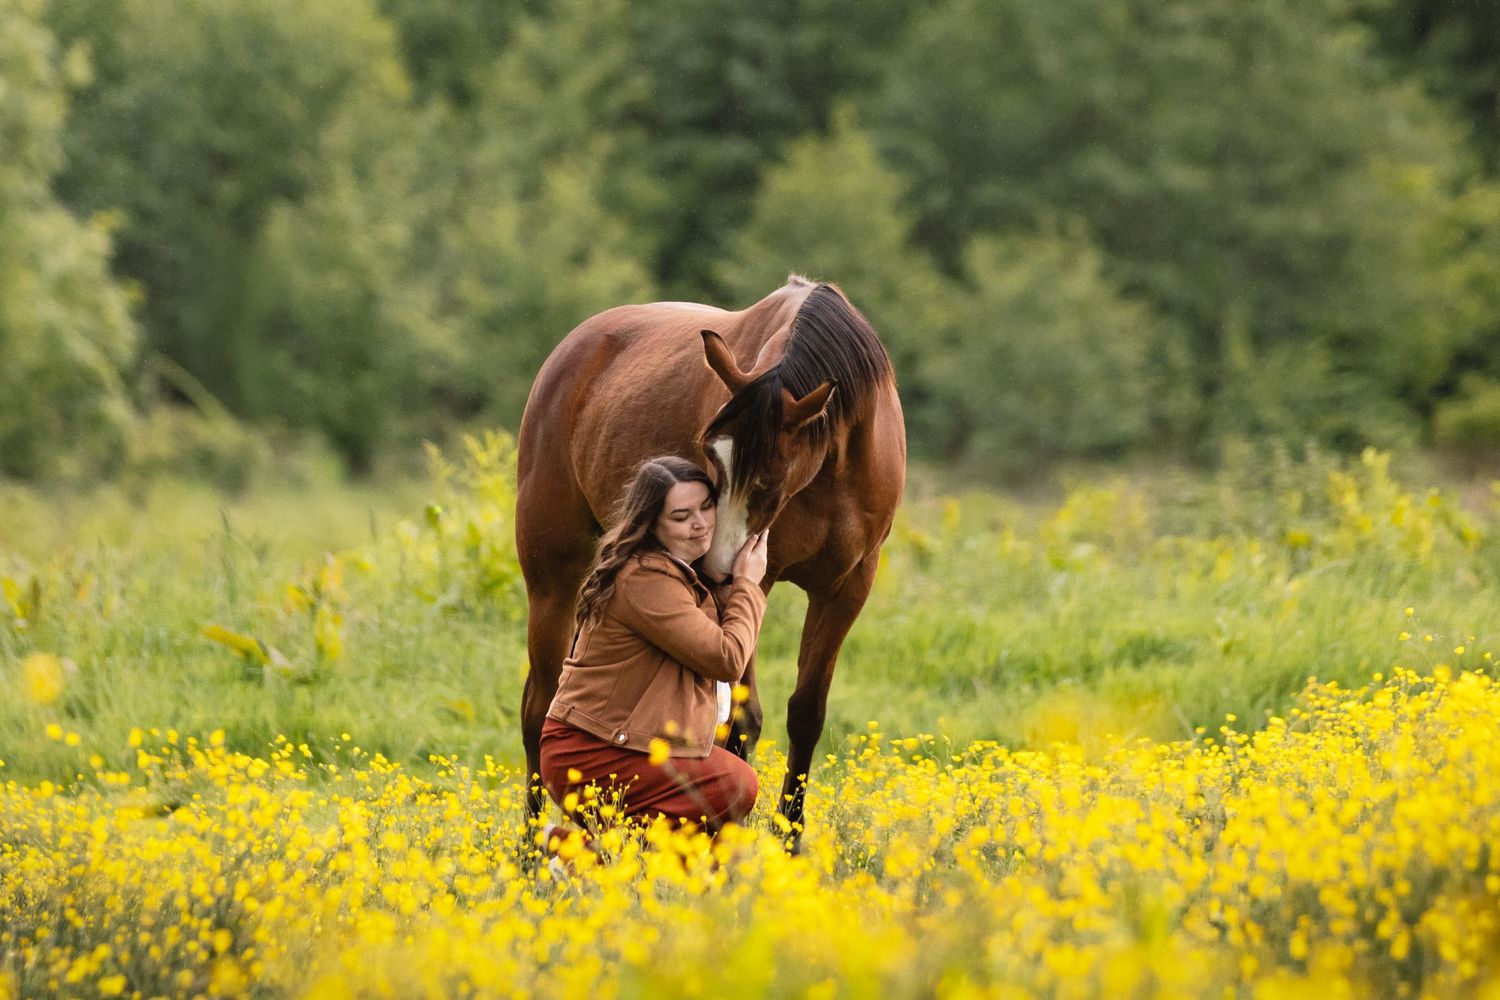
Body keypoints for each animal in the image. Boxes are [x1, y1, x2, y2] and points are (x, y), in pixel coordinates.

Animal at [515, 275, 906, 838]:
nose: (718, 564)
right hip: (553, 578)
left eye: (772, 474)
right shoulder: (752, 587)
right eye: (708, 454)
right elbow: (741, 720)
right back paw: (529, 850)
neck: (834, 469)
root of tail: (570, 352)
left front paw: (791, 840)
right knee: (540, 705)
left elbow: (806, 713)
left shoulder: (847, 589)